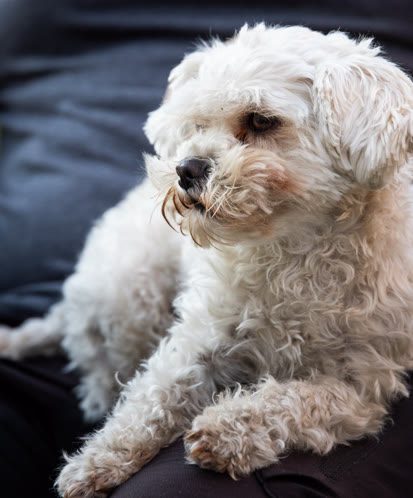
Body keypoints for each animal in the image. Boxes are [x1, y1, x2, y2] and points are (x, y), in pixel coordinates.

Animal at [1, 24, 413, 498]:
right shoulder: (197, 339)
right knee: (99, 372)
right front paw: (95, 460)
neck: (292, 251)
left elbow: (293, 400)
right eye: (197, 124)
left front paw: (228, 431)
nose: (186, 168)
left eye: (260, 120)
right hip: (131, 298)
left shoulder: (362, 388)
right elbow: (151, 398)